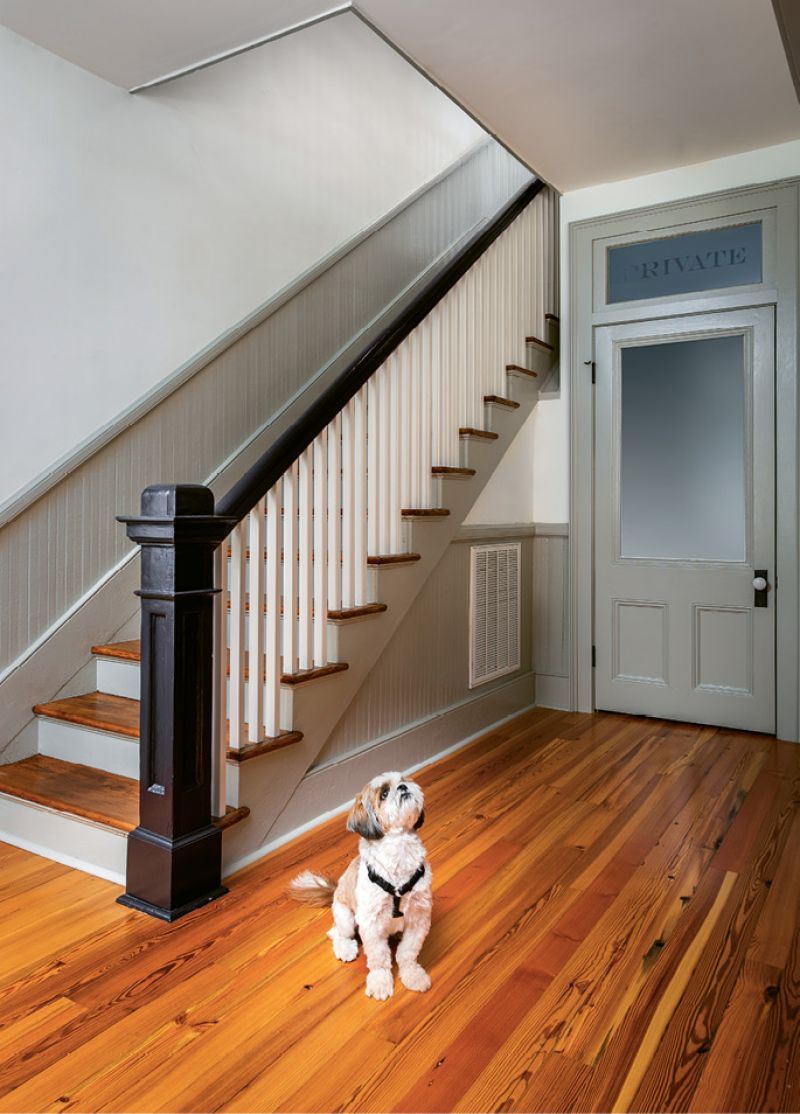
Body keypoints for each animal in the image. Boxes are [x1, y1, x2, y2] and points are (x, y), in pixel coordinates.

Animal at [289, 775, 432, 1002]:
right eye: (384, 794)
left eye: (404, 780)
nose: (403, 787)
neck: (399, 851)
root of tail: (335, 891)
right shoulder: (371, 923)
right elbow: (379, 958)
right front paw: (380, 982)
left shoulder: (419, 916)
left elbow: (408, 952)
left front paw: (412, 974)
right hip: (347, 918)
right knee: (336, 933)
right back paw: (345, 948)